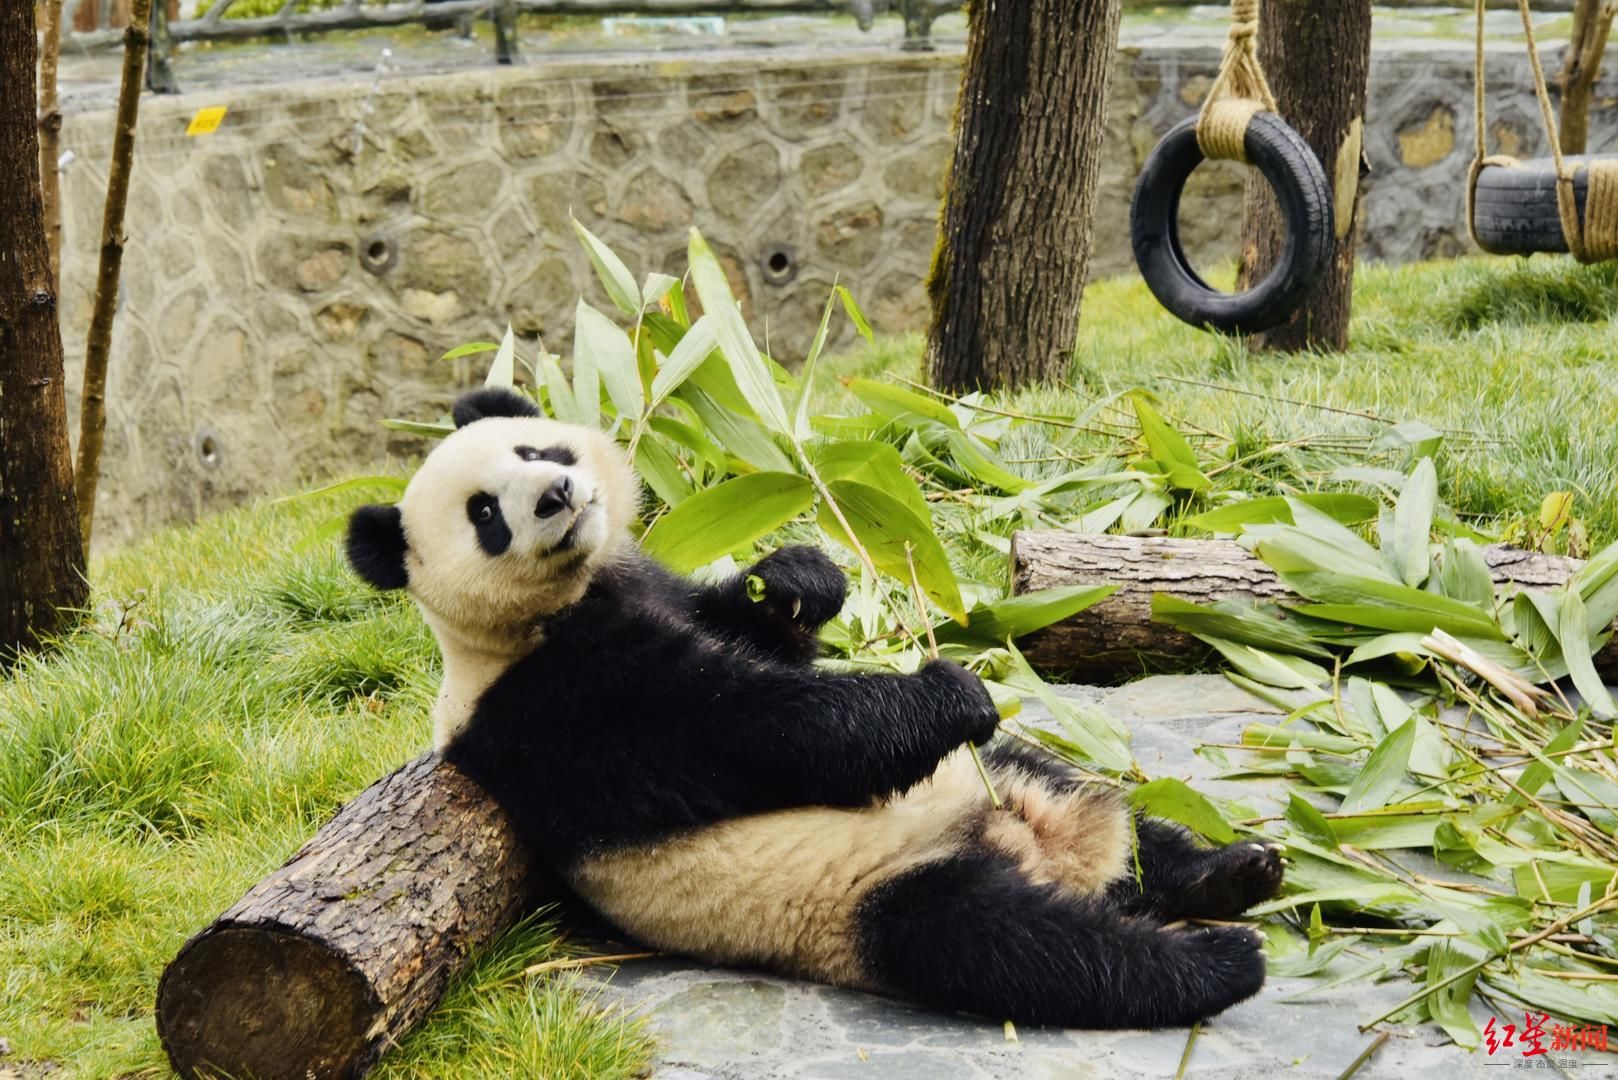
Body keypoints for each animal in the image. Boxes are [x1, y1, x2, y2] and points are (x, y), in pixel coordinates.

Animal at [347, 388, 1281, 1029]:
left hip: (999, 786)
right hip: (874, 903)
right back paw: (1216, 957)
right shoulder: (557, 705)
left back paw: (1234, 871)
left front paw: (799, 578)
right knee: (1026, 949)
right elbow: (758, 727)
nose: (556, 493)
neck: (541, 615)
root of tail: (1034, 850)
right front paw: (949, 691)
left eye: (537, 445)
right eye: (484, 514)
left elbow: (755, 626)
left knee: (1103, 812)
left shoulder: (649, 589)